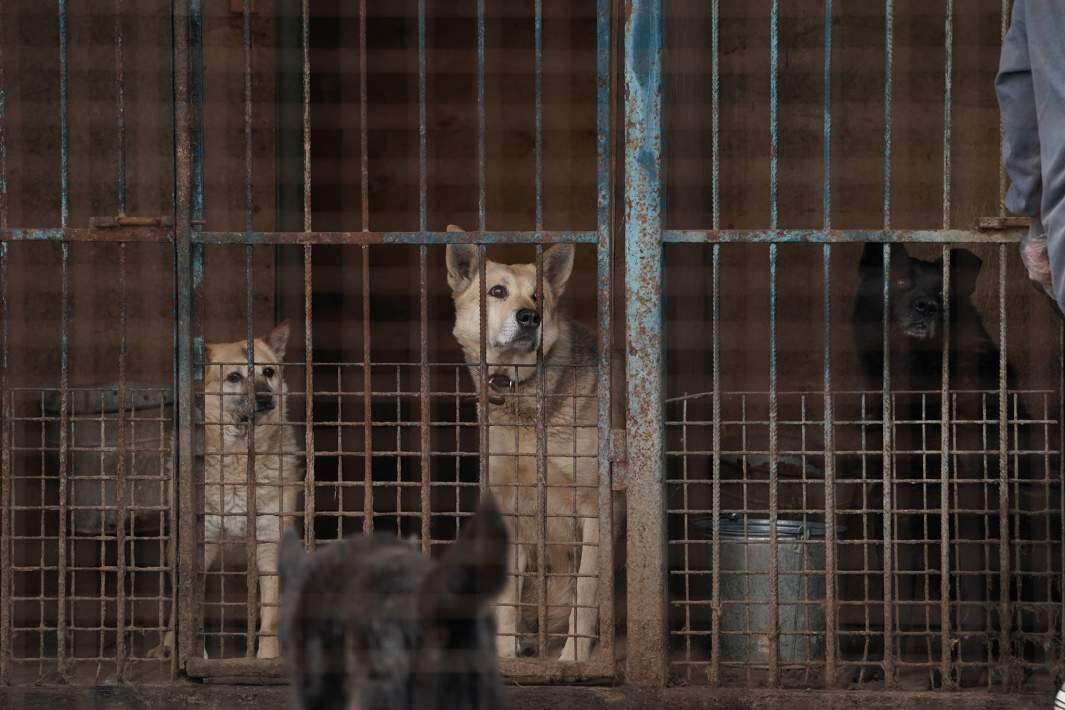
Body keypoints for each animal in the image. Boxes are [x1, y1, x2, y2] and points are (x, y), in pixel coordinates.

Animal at [852, 242, 1035, 689]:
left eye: (943, 291)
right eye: (900, 281)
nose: (925, 306)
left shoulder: (970, 503)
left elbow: (973, 595)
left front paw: (970, 671)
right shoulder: (895, 505)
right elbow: (893, 591)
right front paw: (880, 662)